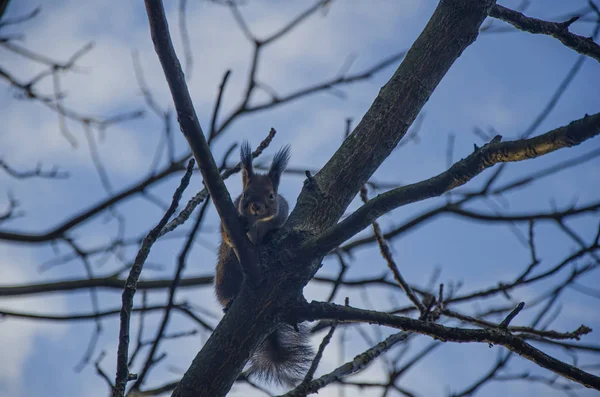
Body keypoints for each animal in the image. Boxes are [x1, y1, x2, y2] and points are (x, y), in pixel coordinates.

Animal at [214, 141, 314, 386]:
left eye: (271, 195)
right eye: (245, 194)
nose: (256, 206)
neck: (258, 223)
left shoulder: (282, 211)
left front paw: (271, 235)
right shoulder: (228, 217)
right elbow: (226, 232)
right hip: (227, 272)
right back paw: (230, 303)